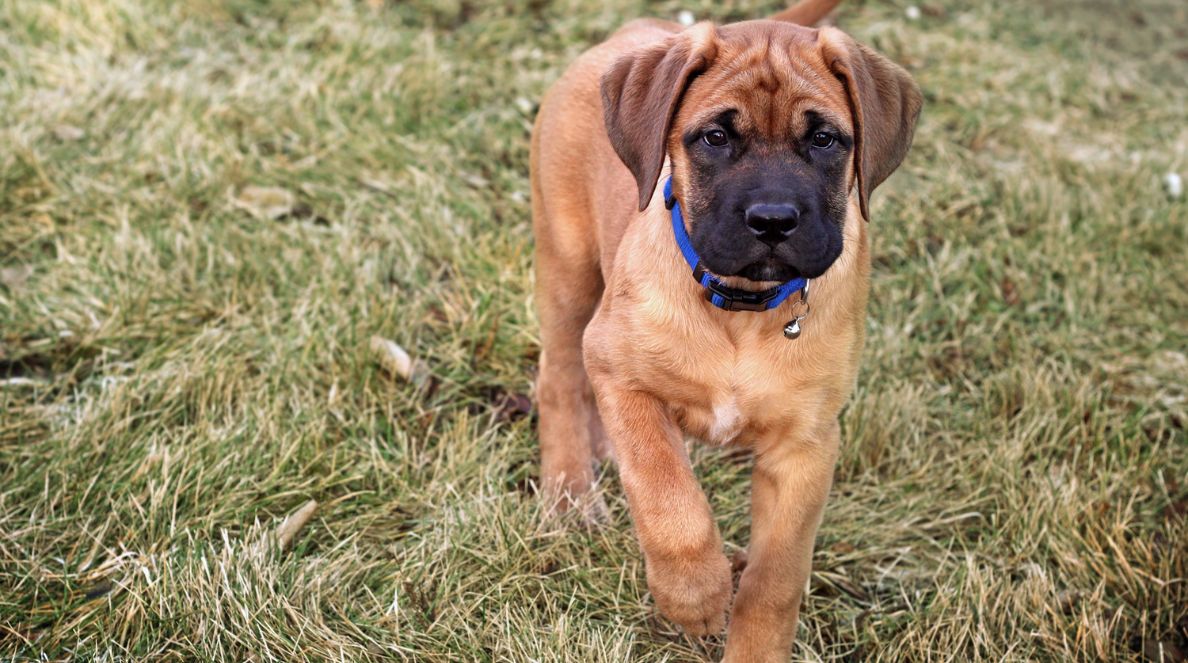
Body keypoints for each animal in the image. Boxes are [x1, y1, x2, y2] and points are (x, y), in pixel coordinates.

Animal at [532, 0, 926, 655]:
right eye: (715, 138)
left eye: (824, 139)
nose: (773, 220)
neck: (739, 309)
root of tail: (641, 30)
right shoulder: (619, 371)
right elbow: (667, 494)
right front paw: (694, 593)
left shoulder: (805, 447)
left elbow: (777, 579)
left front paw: (751, 639)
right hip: (567, 269)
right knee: (560, 377)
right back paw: (570, 491)